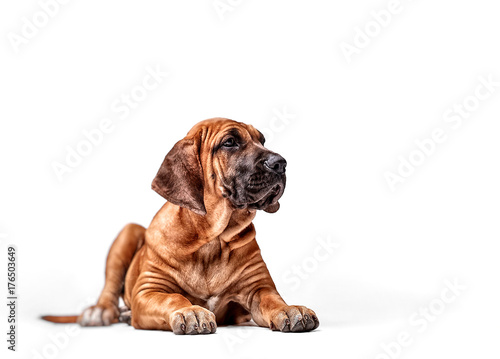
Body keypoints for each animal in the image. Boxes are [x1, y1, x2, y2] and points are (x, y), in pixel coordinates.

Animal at [44, 119, 316, 334]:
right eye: (230, 142)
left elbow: (271, 299)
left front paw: (290, 309)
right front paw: (190, 312)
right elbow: (173, 297)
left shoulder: (258, 286)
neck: (211, 239)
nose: (280, 163)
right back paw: (100, 312)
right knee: (109, 290)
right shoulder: (148, 290)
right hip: (128, 233)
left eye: (262, 140)